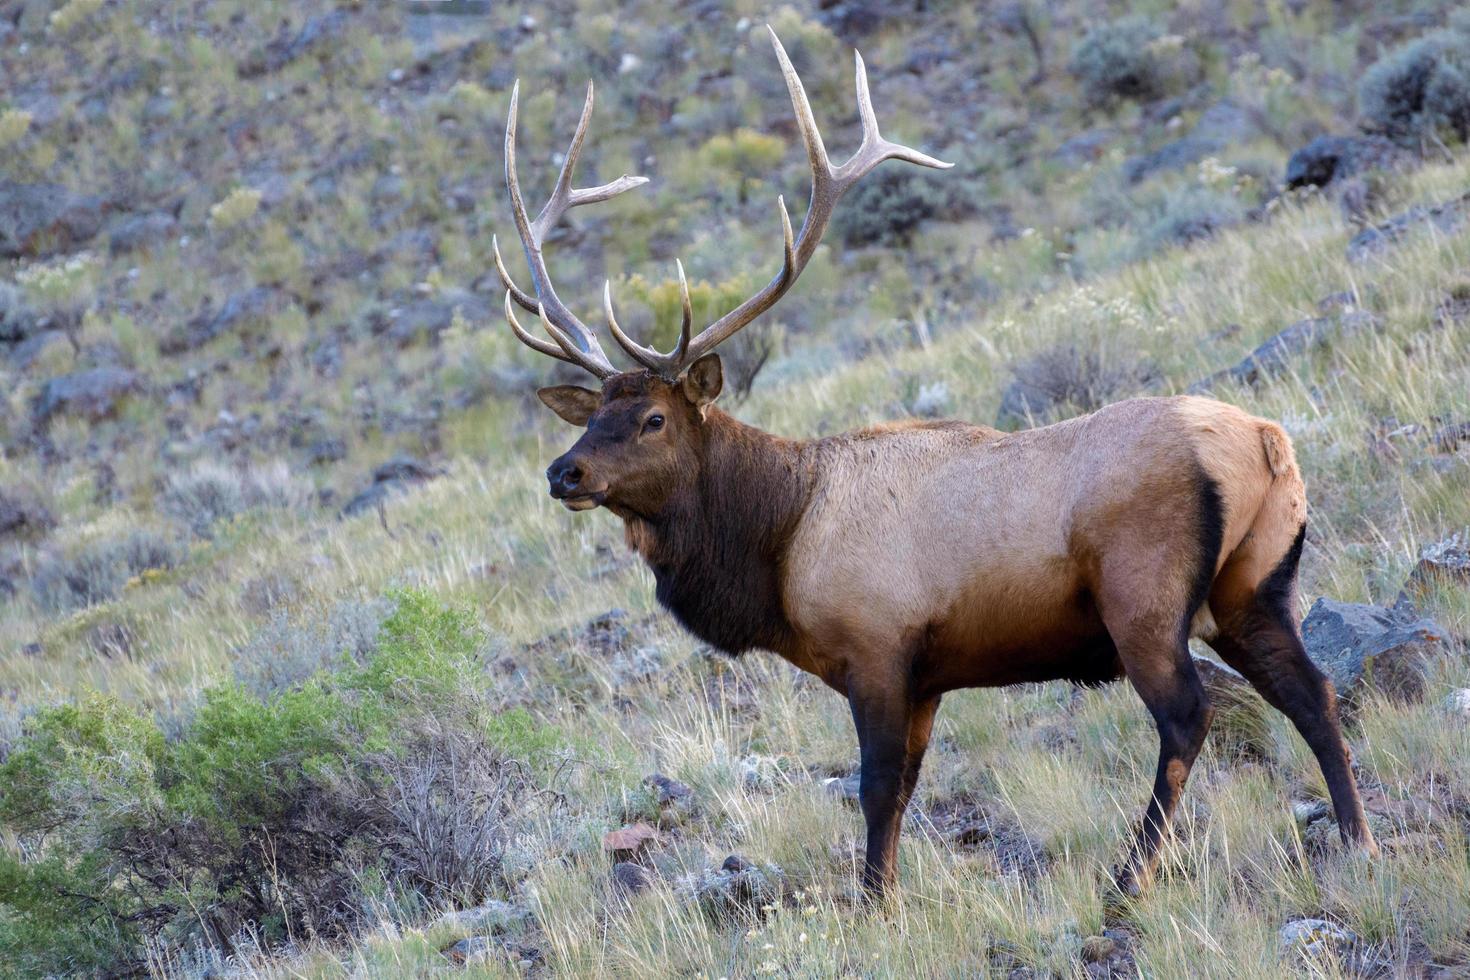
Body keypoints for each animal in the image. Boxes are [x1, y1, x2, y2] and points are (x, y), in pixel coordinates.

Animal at [496, 28, 1375, 899]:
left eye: (651, 419)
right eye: (594, 415)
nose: (563, 473)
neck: (779, 540)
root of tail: (1265, 442)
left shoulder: (878, 648)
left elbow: (878, 786)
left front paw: (873, 902)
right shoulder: (926, 677)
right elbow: (908, 786)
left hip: (1145, 594)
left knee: (1190, 714)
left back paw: (1130, 875)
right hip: (1254, 585)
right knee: (1312, 692)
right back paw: (1358, 840)